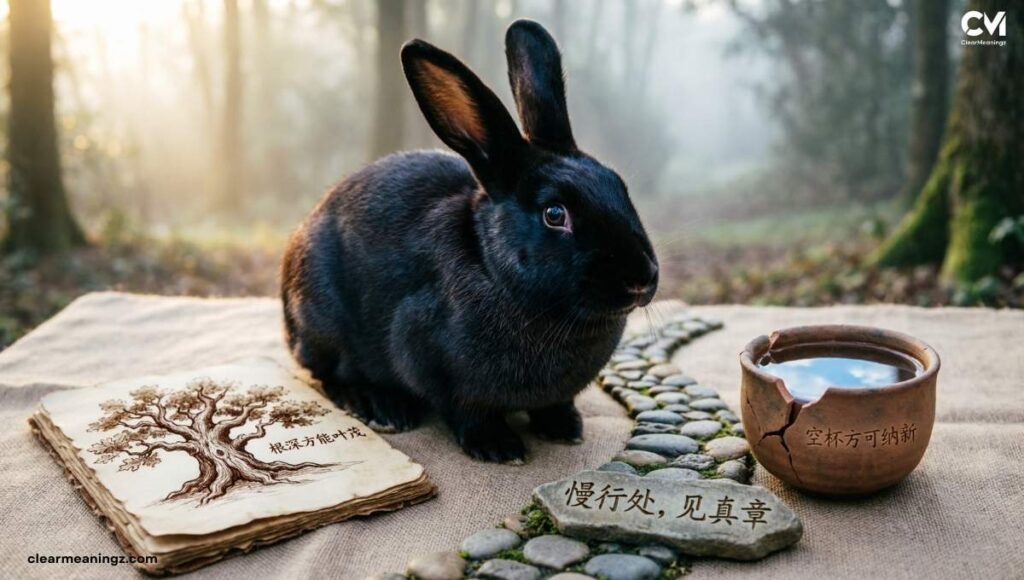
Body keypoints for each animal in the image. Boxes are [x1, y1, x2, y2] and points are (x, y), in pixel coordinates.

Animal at [281, 19, 658, 463]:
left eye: (620, 187)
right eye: (555, 214)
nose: (642, 278)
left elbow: (555, 403)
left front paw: (565, 428)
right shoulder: (433, 363)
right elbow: (467, 411)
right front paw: (497, 447)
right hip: (322, 319)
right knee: (326, 372)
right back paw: (381, 407)